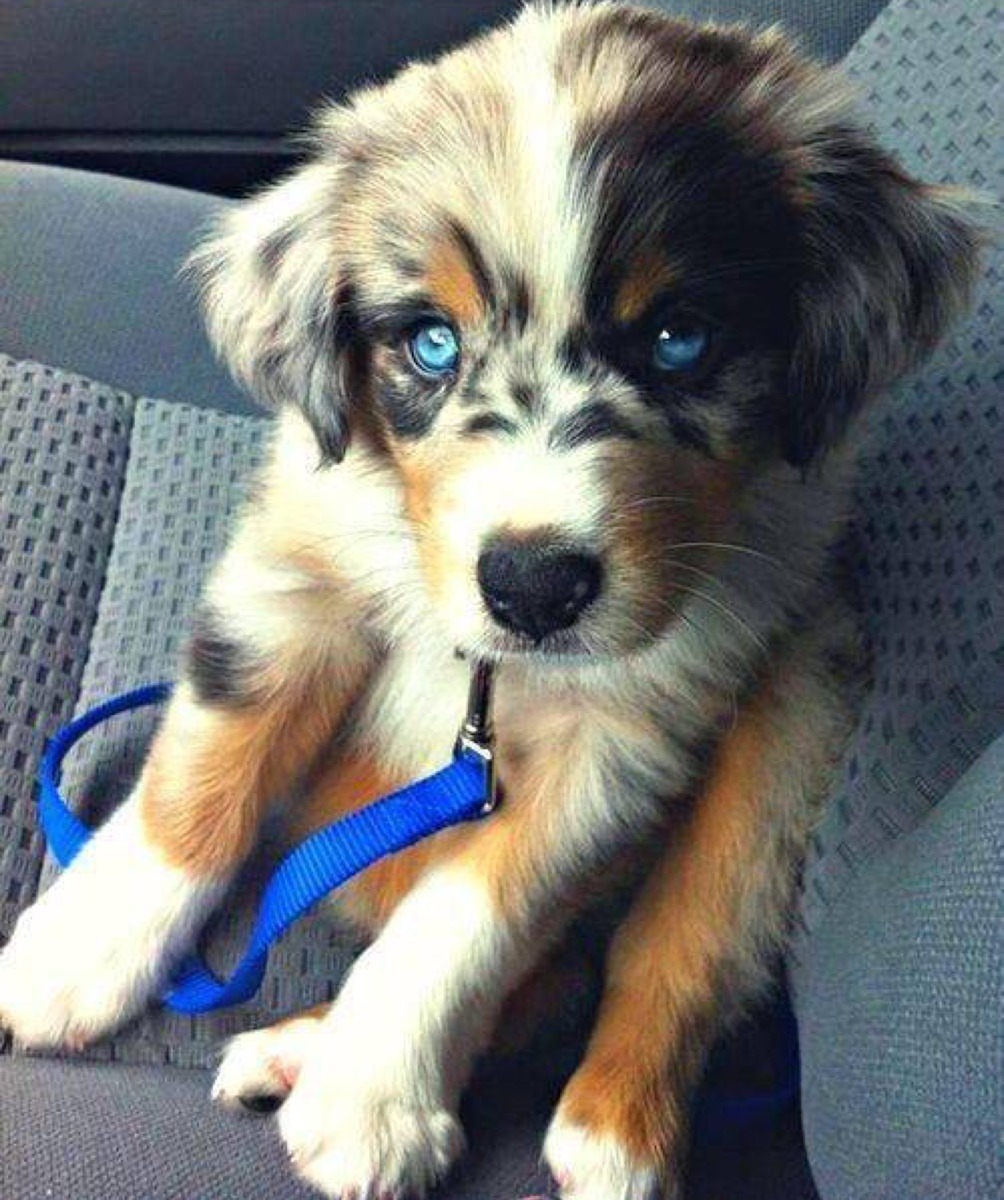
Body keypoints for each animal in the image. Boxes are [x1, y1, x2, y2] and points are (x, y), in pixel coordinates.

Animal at [0, 4, 980, 1197]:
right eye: (431, 342)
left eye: (679, 339)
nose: (532, 587)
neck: (492, 671)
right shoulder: (289, 579)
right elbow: (201, 777)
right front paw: (75, 957)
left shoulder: (625, 737)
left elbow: (472, 915)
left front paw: (374, 1094)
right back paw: (296, 1044)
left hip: (794, 725)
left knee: (663, 955)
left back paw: (598, 1127)